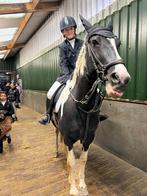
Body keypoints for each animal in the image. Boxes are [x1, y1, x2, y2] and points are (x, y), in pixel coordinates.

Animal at [52, 14, 131, 195]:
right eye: (95, 42)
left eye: (118, 43)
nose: (121, 80)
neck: (82, 106)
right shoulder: (69, 138)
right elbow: (72, 161)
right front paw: (73, 187)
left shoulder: (88, 138)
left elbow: (82, 160)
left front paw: (81, 185)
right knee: (58, 138)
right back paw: (58, 153)